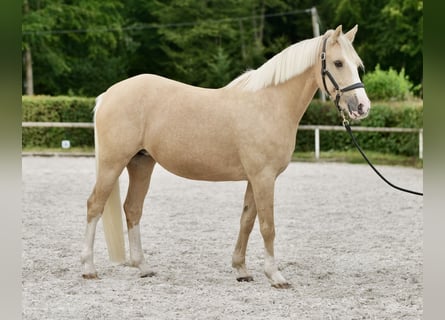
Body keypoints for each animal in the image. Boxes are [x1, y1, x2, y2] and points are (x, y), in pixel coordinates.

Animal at [81, 23, 370, 286]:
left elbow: (247, 221)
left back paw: (143, 266)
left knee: (133, 208)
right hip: (112, 164)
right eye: (338, 63)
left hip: (141, 163)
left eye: (357, 64)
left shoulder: (255, 179)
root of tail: (108, 94)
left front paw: (241, 269)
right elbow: (267, 226)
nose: (362, 107)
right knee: (95, 205)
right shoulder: (264, 177)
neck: (269, 104)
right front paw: (275, 275)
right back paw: (89, 268)